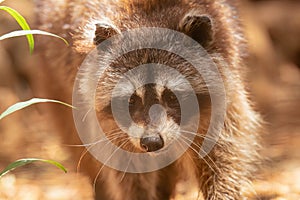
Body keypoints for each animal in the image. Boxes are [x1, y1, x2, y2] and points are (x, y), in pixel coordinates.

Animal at [34, 0, 260, 199]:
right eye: (131, 100)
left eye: (171, 96)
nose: (152, 142)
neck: (146, 19)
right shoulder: (108, 122)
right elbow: (126, 169)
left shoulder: (223, 89)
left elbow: (222, 152)